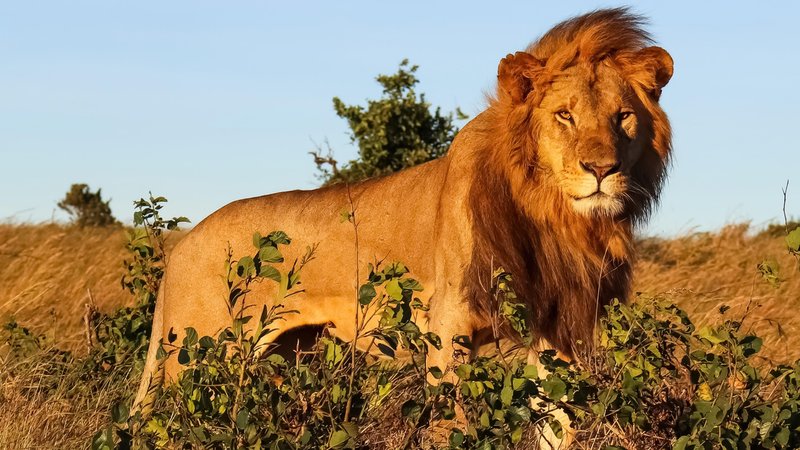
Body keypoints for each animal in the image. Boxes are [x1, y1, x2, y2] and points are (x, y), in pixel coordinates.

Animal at [134, 8, 673, 447]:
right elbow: (452, 427)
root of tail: (181, 247)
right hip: (200, 362)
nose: (601, 169)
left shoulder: (560, 334)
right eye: (564, 115)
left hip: (280, 358)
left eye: (623, 117)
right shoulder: (449, 329)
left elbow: (558, 426)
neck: (552, 219)